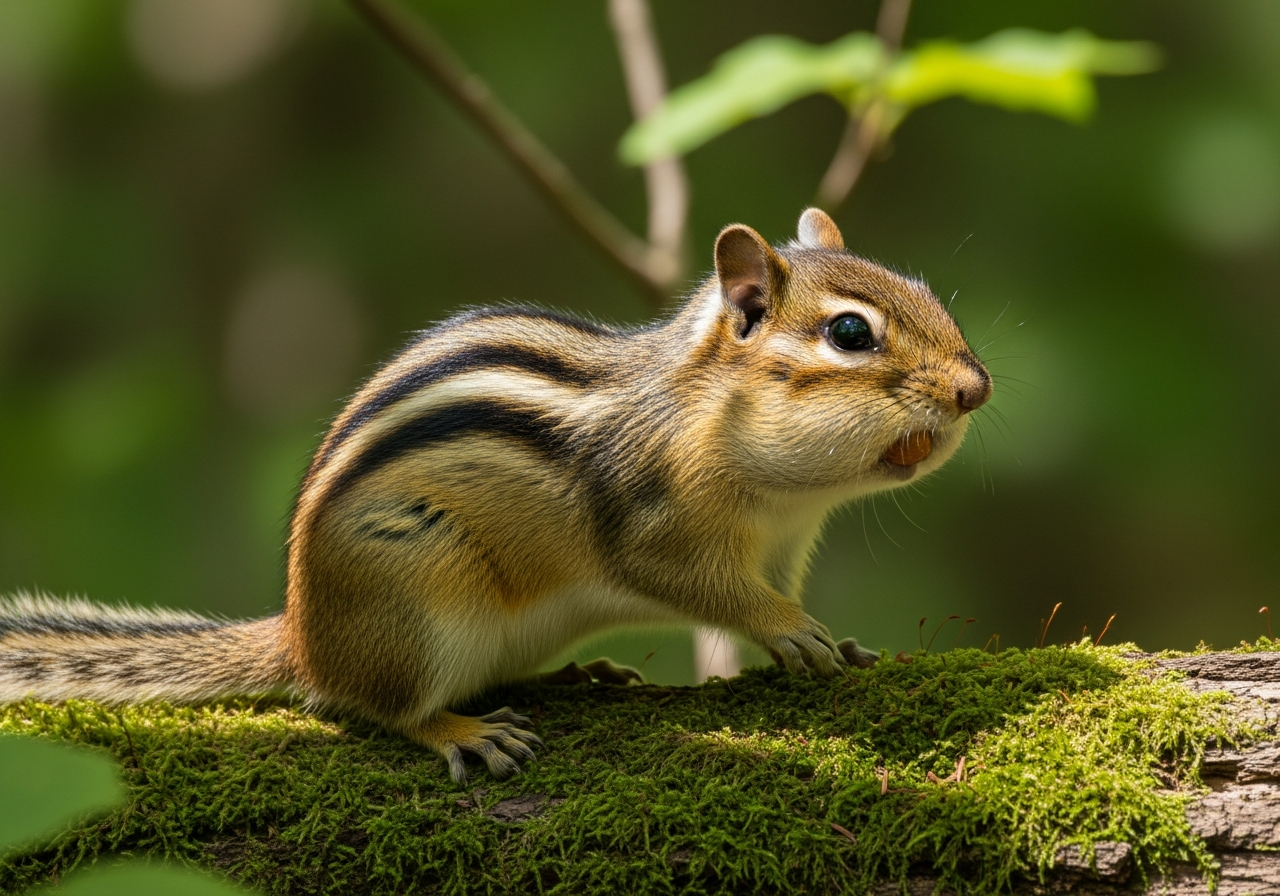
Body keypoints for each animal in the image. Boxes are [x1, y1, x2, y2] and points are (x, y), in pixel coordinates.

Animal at [0, 209, 990, 783]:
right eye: (851, 334)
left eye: (926, 292)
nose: (974, 388)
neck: (785, 488)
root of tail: (302, 632)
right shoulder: (653, 517)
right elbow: (704, 587)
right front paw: (787, 630)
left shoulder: (783, 544)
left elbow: (777, 595)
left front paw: (831, 640)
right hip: (418, 600)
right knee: (373, 706)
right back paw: (459, 731)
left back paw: (578, 673)